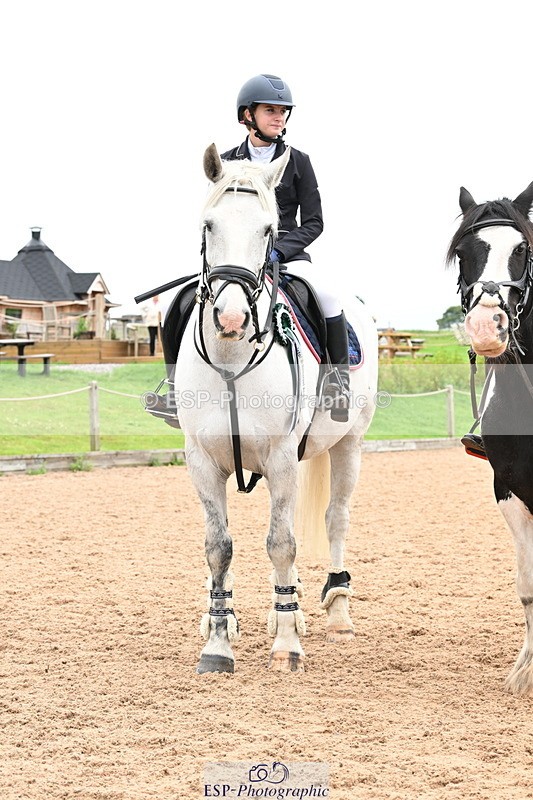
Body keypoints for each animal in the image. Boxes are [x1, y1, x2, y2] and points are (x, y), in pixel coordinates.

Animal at [173, 143, 379, 674]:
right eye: (208, 225)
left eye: (269, 230)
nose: (231, 318)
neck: (231, 361)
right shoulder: (201, 460)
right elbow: (218, 547)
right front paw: (217, 641)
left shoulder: (282, 458)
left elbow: (281, 542)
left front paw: (287, 643)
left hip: (349, 444)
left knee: (335, 518)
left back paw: (336, 611)